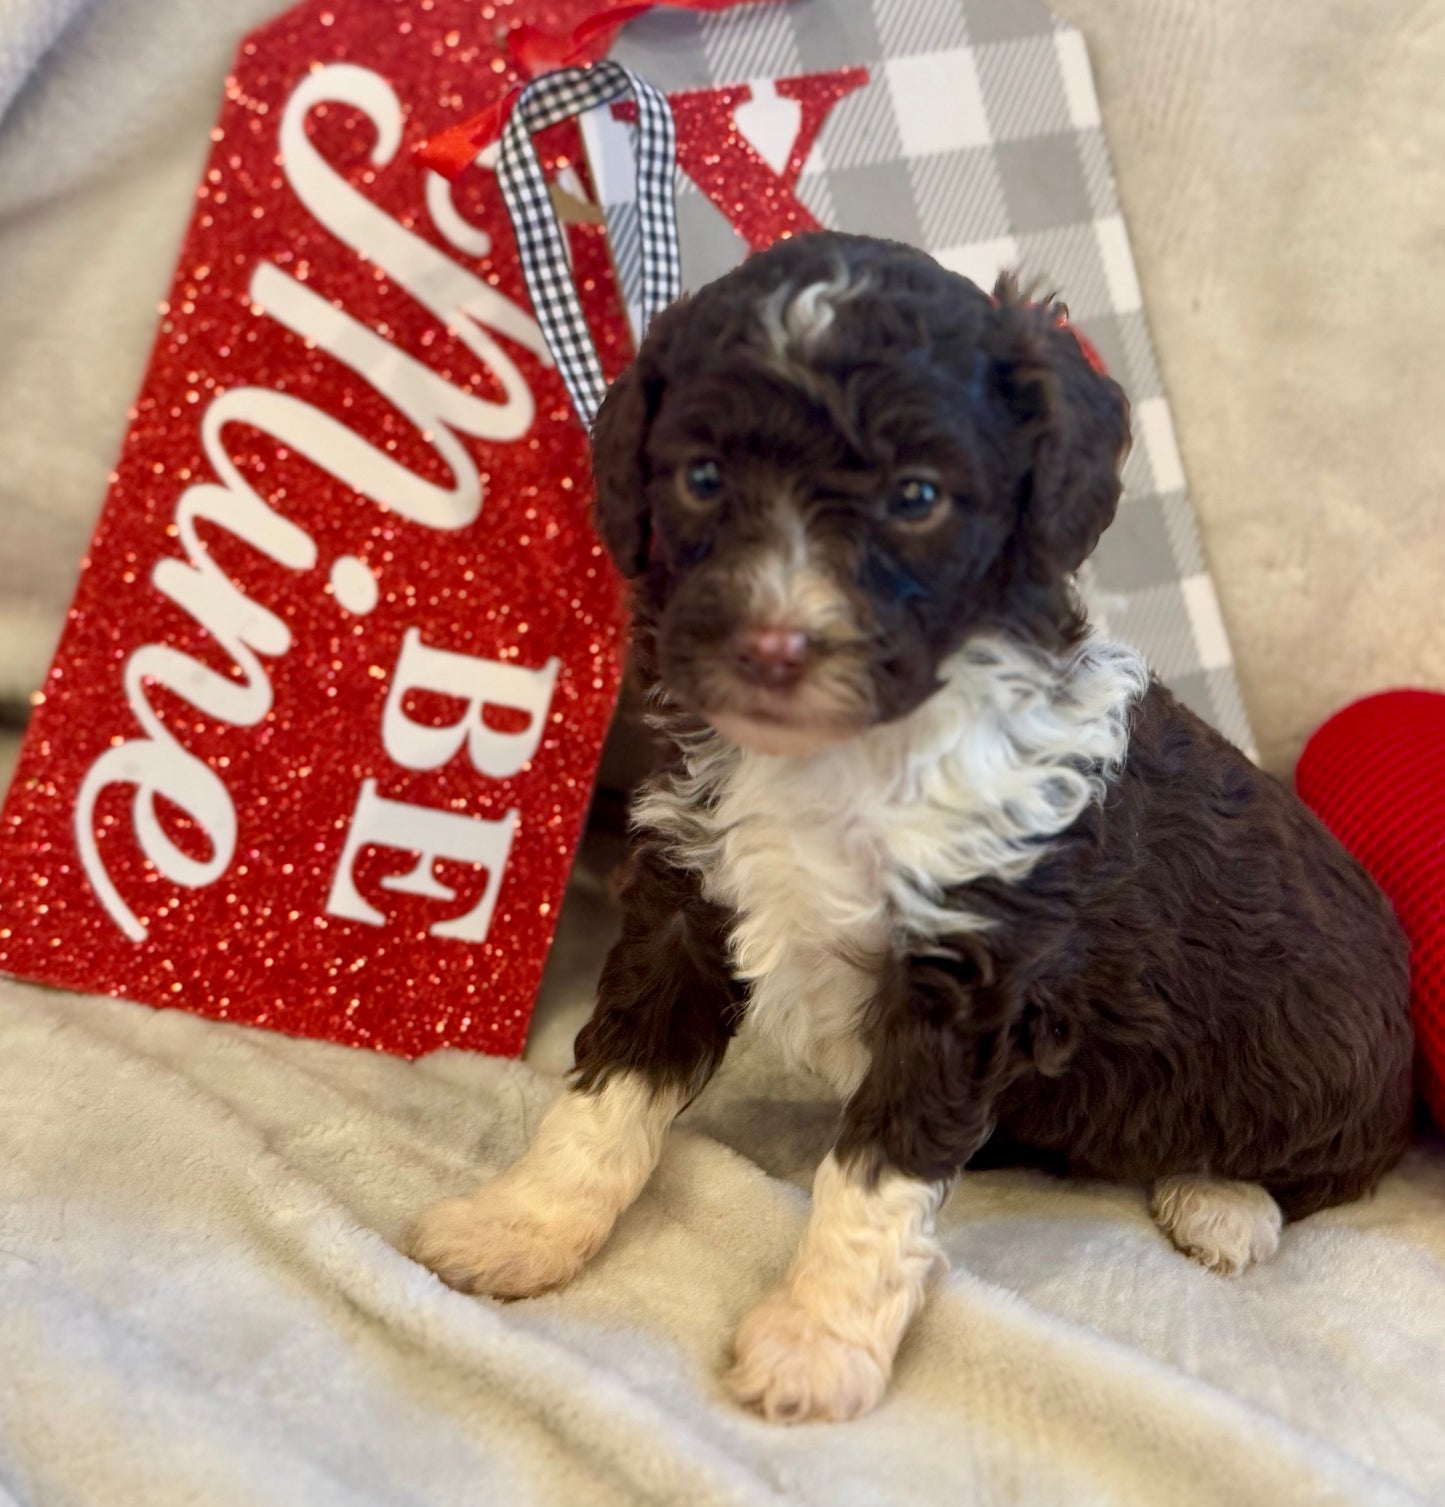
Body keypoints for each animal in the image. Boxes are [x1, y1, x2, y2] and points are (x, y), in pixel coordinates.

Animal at [412, 232, 1416, 1422]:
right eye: (701, 478)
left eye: (917, 497)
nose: (771, 646)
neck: (845, 757)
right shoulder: (686, 895)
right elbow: (610, 1087)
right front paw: (522, 1225)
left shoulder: (966, 977)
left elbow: (871, 1174)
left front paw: (815, 1342)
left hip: (1329, 1054)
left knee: (1335, 1165)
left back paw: (1221, 1199)